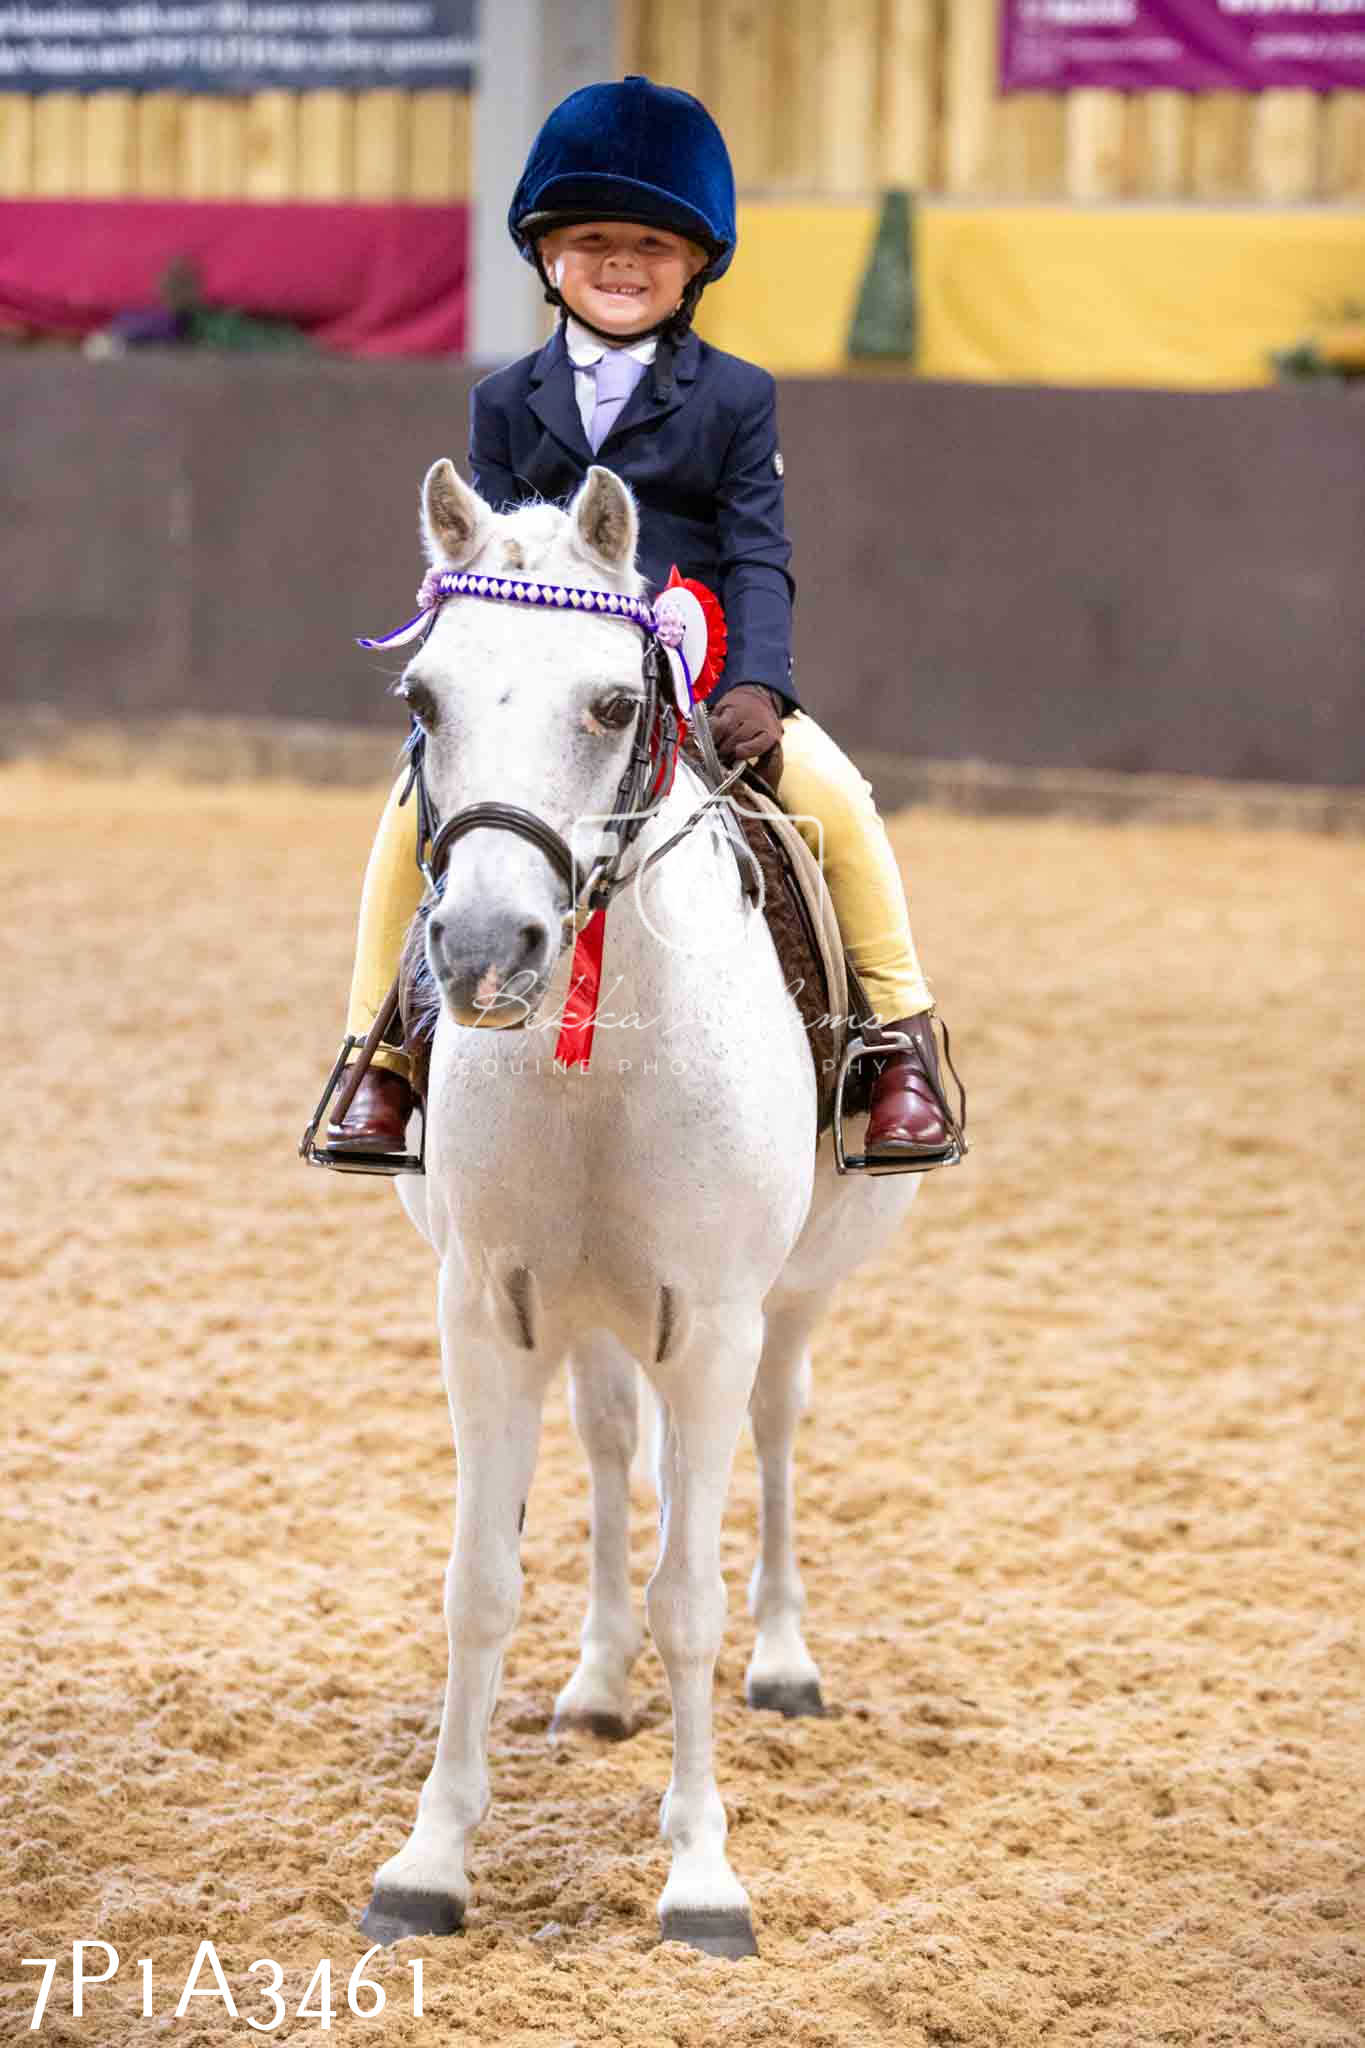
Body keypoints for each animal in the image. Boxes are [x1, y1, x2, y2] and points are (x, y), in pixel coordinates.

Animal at [362, 456, 925, 1957]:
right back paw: (600, 1684)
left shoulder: (717, 1319)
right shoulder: (487, 1312)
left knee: (774, 1438)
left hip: (791, 1297)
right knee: (617, 1448)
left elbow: (693, 1596)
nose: (485, 951)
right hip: (596, 1314)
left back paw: (784, 1662)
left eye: (614, 704)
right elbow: (480, 1584)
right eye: (422, 698)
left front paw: (703, 1877)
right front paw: (430, 1862)